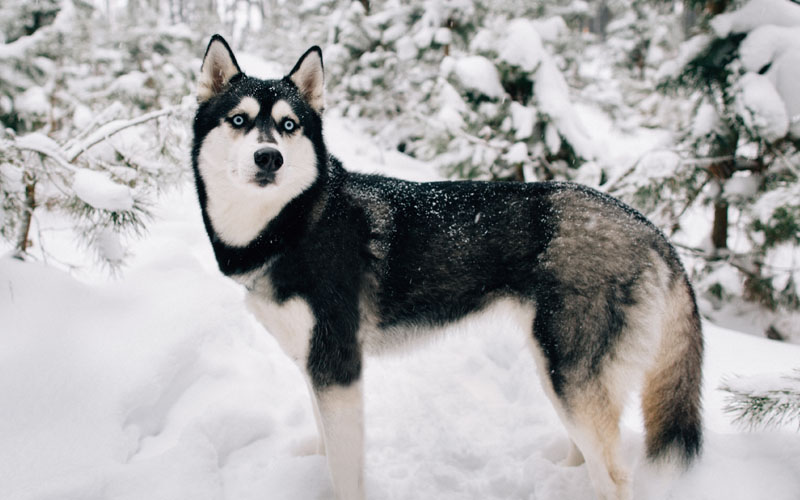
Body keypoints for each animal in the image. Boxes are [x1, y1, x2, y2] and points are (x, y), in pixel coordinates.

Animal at [192, 35, 700, 500]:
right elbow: (324, 444)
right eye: (239, 119)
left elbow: (345, 470)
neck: (295, 222)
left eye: (288, 125)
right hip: (558, 372)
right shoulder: (316, 366)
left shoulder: (338, 369)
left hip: (568, 374)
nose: (269, 157)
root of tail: (648, 228)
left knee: (611, 475)